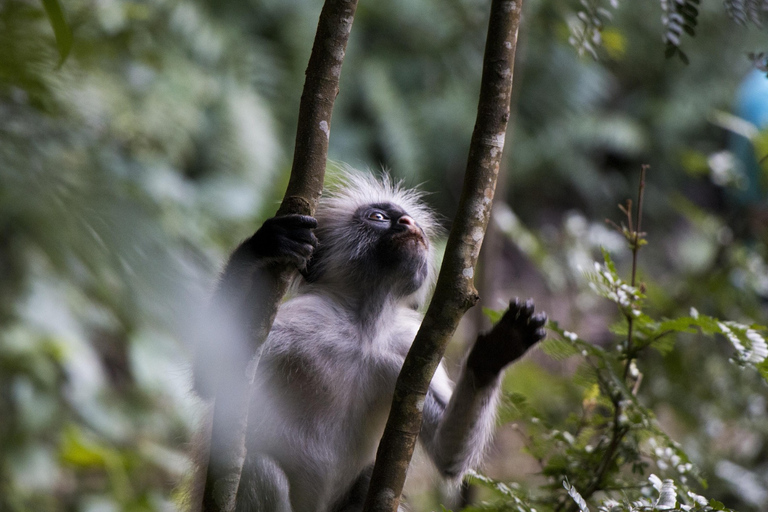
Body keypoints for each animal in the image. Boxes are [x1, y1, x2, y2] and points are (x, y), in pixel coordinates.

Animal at [196, 169, 547, 512]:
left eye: (410, 221)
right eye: (377, 217)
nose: (408, 223)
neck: (365, 330)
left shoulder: (407, 344)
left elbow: (448, 456)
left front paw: (495, 352)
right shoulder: (303, 319)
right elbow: (210, 377)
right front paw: (264, 243)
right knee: (259, 469)